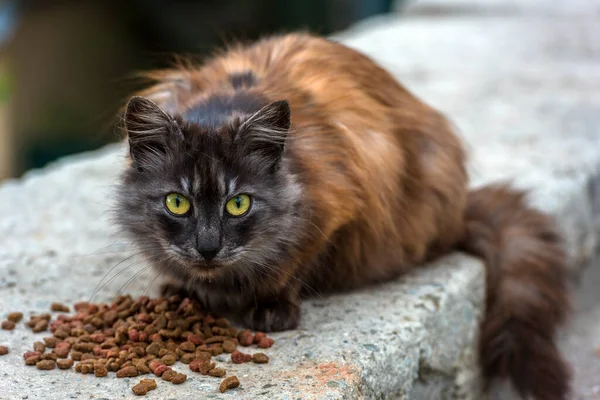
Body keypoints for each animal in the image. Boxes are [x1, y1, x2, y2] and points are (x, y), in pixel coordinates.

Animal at [115, 32, 568, 400]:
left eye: (238, 204)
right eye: (178, 203)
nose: (208, 247)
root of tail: (460, 213)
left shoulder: (335, 210)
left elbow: (291, 267)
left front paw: (270, 305)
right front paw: (183, 290)